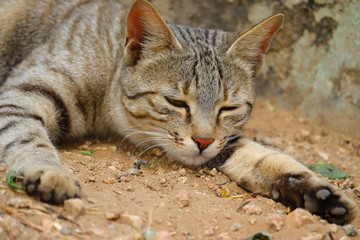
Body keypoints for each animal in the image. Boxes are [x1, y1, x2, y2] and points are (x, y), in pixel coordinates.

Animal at [0, 0, 356, 225]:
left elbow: (262, 156)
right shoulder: (19, 97)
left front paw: (319, 193)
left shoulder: (224, 141)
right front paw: (51, 171)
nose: (203, 141)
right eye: (177, 103)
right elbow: (29, 138)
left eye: (228, 108)